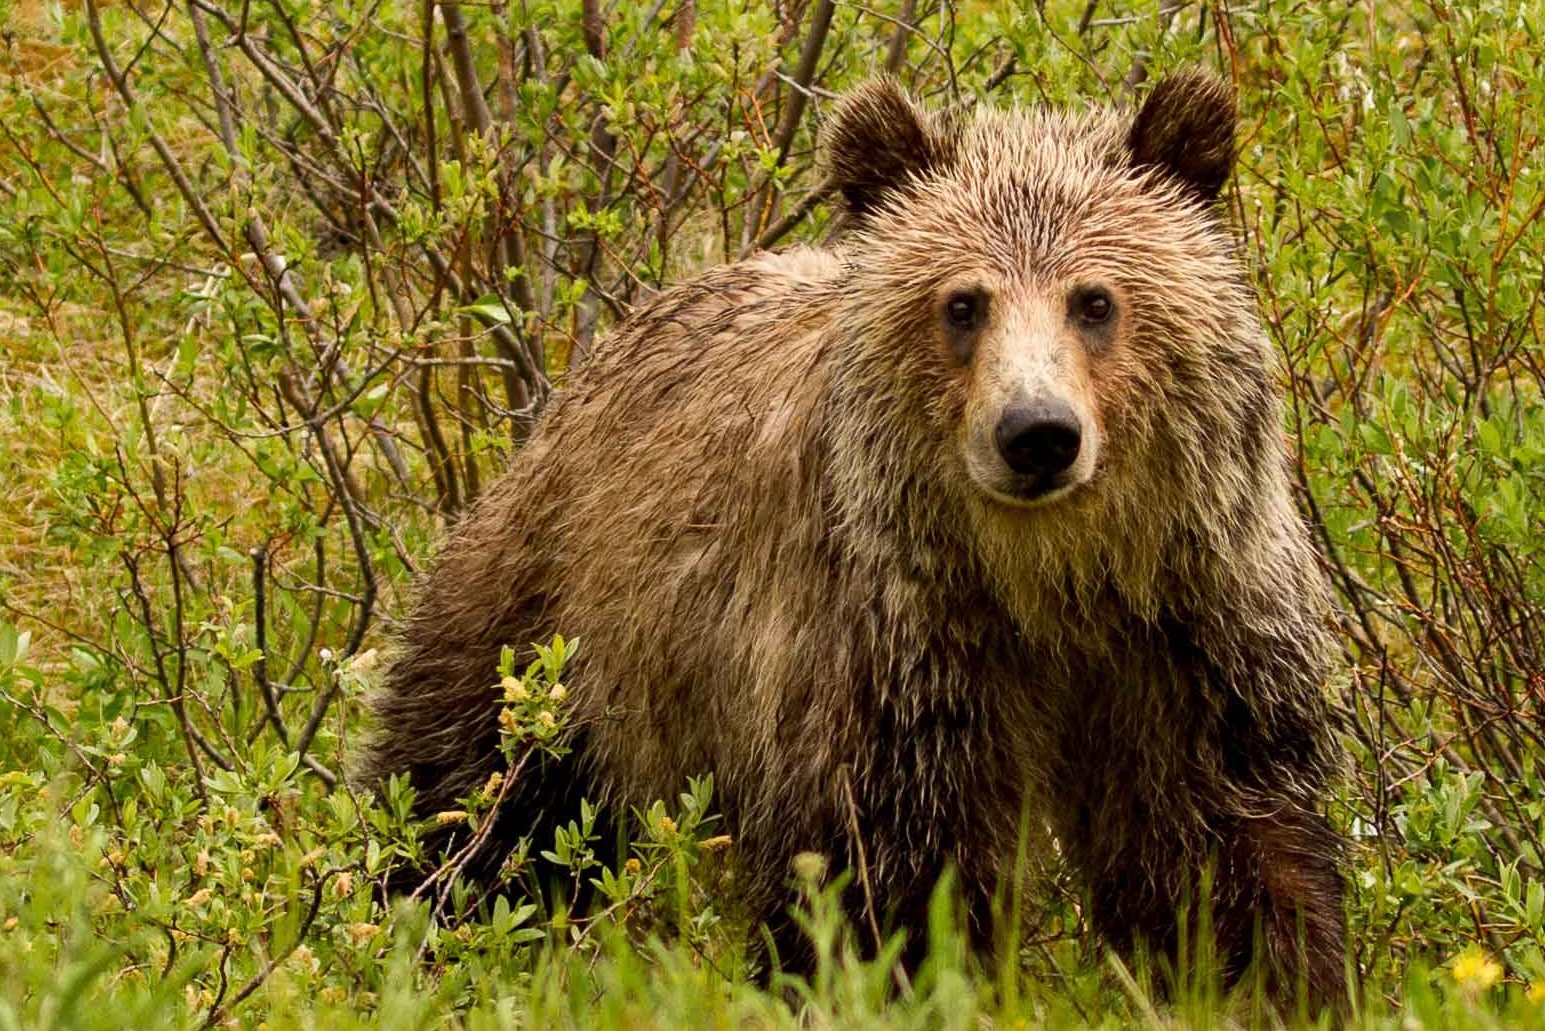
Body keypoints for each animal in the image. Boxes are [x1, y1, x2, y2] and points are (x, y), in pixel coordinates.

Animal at [358, 70, 1341, 1007]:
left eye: (1094, 300)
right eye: (963, 303)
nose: (1035, 432)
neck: (1047, 583)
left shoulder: (1187, 628)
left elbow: (1218, 846)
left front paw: (1269, 976)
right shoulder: (893, 656)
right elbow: (880, 877)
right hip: (555, 626)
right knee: (471, 801)